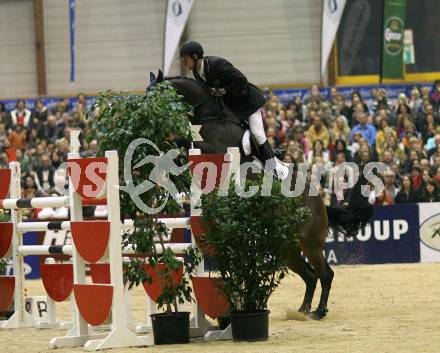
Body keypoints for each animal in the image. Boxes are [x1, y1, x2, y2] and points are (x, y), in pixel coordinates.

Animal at [150, 71, 372, 320]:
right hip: (286, 247)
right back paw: (302, 310)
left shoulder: (216, 149)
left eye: (154, 95)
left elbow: (188, 143)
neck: (208, 115)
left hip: (309, 242)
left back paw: (319, 311)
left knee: (325, 273)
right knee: (310, 275)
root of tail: (321, 202)